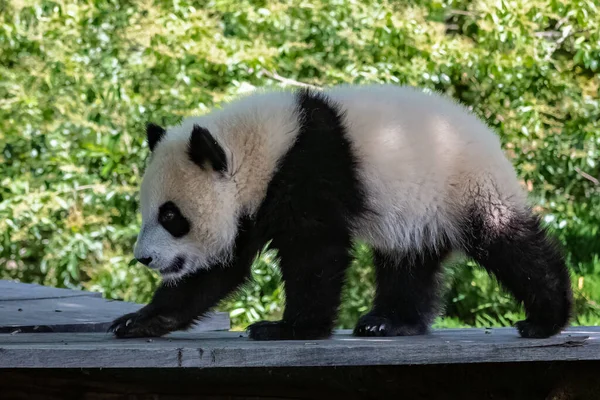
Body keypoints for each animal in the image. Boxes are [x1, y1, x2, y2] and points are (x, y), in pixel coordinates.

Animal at [110, 84, 576, 340]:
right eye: (150, 212)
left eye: (171, 216)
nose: (144, 258)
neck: (258, 150)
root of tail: (489, 135)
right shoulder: (255, 203)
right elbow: (218, 269)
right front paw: (139, 321)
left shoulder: (308, 169)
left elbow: (316, 253)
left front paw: (289, 329)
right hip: (419, 211)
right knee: (409, 261)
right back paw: (389, 322)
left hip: (463, 185)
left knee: (507, 242)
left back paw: (545, 319)